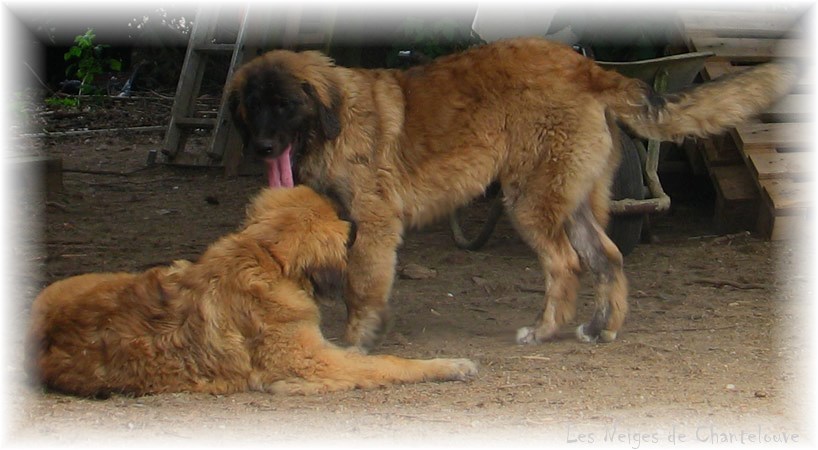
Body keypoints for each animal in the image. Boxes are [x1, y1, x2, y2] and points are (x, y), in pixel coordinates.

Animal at [27, 186, 478, 398]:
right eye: (342, 225)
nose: (355, 225)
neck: (268, 260)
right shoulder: (315, 362)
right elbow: (388, 364)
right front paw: (450, 364)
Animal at [225, 37, 796, 350]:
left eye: (285, 104)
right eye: (253, 105)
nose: (262, 147)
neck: (337, 119)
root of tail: (587, 68)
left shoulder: (375, 223)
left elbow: (359, 286)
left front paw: (355, 340)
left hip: (529, 201)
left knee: (566, 265)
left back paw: (543, 333)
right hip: (573, 202)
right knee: (607, 258)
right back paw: (599, 329)